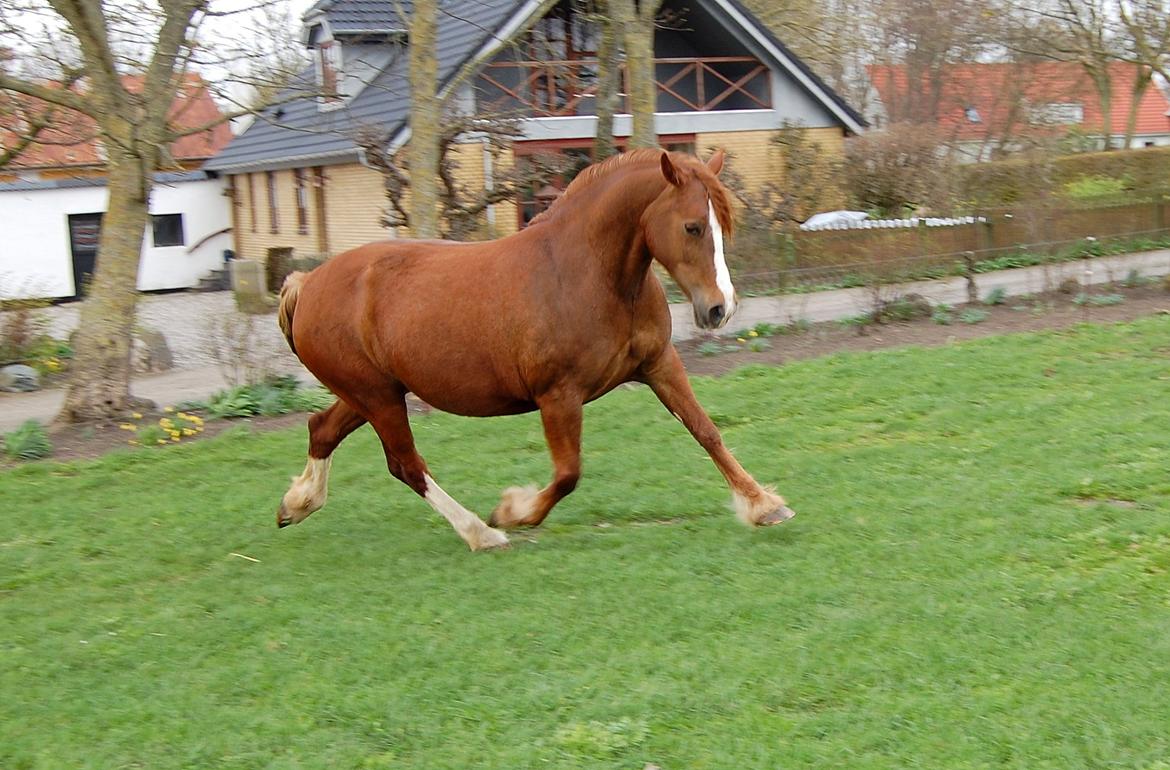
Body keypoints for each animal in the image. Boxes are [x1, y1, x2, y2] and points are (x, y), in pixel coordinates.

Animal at [276, 148, 795, 545]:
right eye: (692, 227)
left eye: (723, 224)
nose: (720, 309)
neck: (591, 275)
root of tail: (307, 283)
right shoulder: (558, 396)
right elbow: (568, 474)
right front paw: (512, 511)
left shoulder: (658, 364)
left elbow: (707, 431)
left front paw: (763, 505)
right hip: (378, 397)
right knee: (405, 464)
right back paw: (482, 533)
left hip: (372, 393)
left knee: (322, 429)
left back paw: (296, 503)